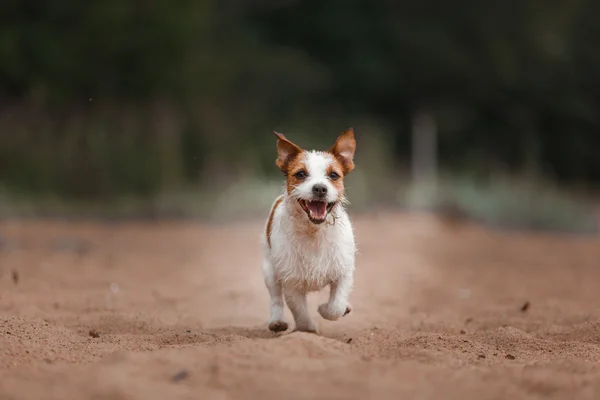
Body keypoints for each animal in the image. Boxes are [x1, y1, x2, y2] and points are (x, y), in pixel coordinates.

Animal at [262, 129, 356, 334]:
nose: (320, 188)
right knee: (275, 298)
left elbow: (335, 306)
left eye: (333, 175)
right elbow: (301, 315)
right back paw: (277, 321)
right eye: (301, 174)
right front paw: (309, 331)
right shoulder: (290, 282)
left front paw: (326, 309)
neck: (314, 231)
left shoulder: (343, 271)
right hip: (269, 271)